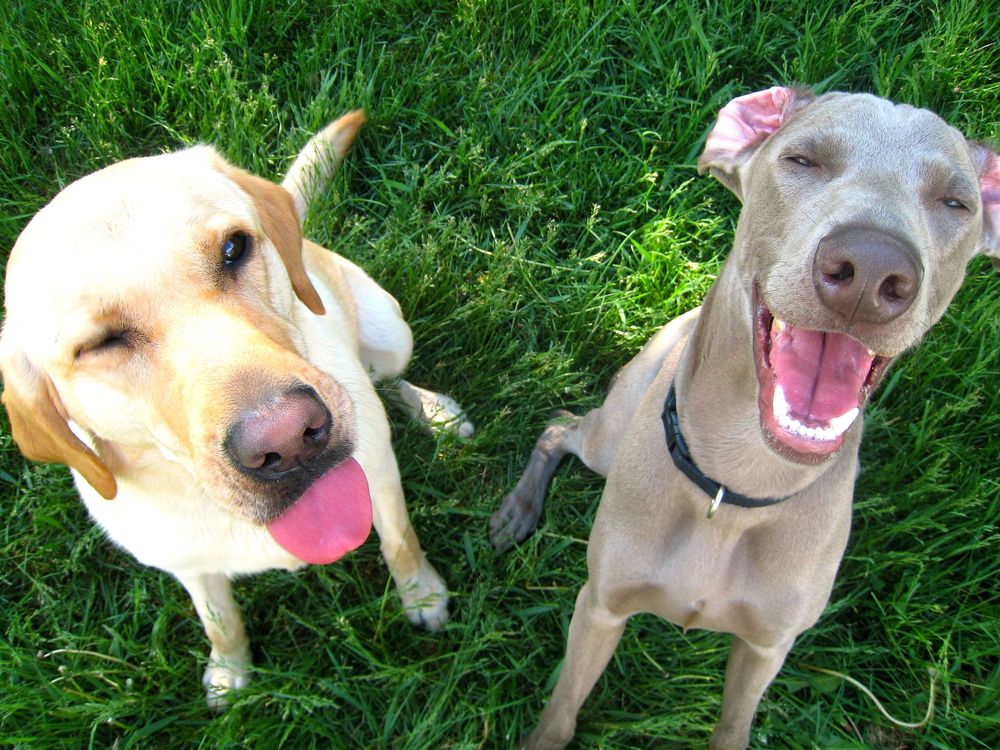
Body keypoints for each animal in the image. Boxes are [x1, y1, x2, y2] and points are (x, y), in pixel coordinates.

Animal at [492, 85, 1000, 748]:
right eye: (803, 160)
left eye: (955, 201)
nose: (870, 270)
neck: (736, 486)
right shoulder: (600, 606)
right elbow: (560, 712)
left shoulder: (767, 648)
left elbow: (734, 724)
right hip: (609, 437)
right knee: (558, 428)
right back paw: (517, 512)